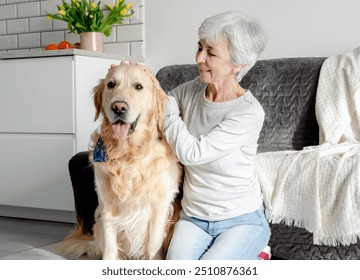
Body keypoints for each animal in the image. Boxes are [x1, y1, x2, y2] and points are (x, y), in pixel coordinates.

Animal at [57, 63, 181, 260]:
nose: (119, 108)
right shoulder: (106, 202)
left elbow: (153, 244)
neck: (128, 155)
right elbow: (109, 244)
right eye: (111, 84)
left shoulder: (160, 205)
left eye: (138, 86)